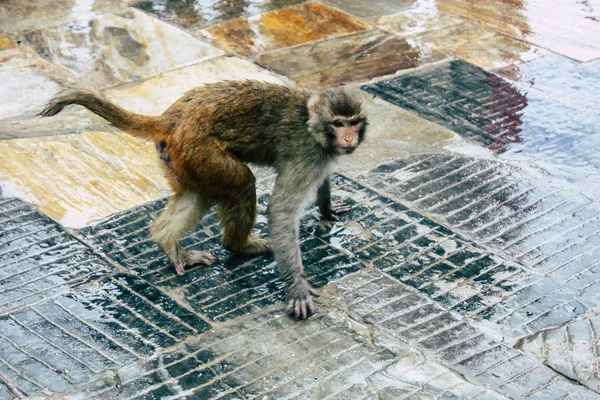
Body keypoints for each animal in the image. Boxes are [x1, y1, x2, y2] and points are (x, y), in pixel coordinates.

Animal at [41, 81, 366, 318]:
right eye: (338, 124)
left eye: (354, 123)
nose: (349, 139)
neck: (312, 124)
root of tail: (169, 119)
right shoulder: (308, 154)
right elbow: (281, 210)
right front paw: (297, 288)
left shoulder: (322, 157)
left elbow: (323, 183)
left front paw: (328, 209)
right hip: (200, 151)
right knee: (242, 185)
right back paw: (239, 246)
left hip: (181, 158)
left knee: (198, 195)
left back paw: (168, 241)